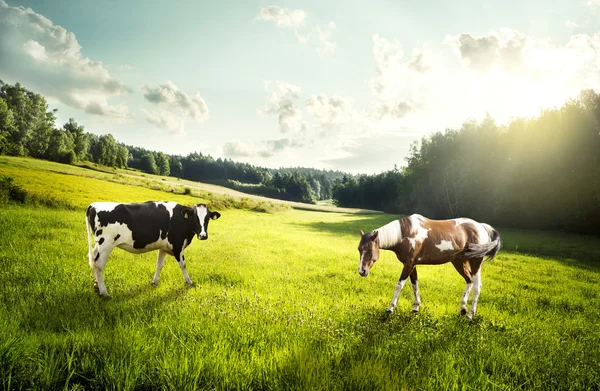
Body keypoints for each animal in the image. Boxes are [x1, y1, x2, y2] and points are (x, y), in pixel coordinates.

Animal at [85, 202, 221, 298]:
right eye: (195, 218)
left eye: (207, 218)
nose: (203, 235)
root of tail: (93, 205)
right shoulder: (177, 246)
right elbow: (183, 264)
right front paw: (189, 282)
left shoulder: (163, 247)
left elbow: (159, 264)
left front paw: (155, 282)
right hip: (106, 244)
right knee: (99, 265)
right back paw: (104, 293)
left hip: (99, 245)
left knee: (93, 261)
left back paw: (96, 286)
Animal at [356, 214, 502, 318]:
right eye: (359, 249)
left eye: (369, 250)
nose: (362, 271)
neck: (406, 233)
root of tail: (481, 227)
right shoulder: (412, 265)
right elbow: (414, 285)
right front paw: (416, 307)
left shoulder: (408, 264)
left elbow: (399, 285)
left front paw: (390, 308)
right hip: (459, 262)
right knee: (469, 281)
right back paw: (463, 309)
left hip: (476, 261)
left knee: (477, 285)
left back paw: (471, 314)